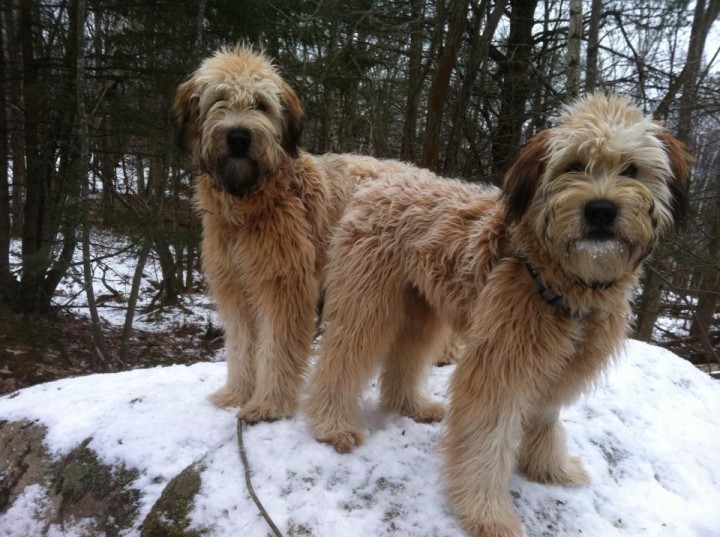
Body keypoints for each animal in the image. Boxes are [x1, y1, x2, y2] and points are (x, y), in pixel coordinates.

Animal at [174, 46, 428, 420]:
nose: (238, 137)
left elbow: (277, 347)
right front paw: (237, 394)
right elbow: (241, 344)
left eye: (261, 104)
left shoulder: (285, 285)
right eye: (219, 99)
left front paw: (268, 403)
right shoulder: (235, 286)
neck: (249, 204)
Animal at [306, 95, 692, 536]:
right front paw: (487, 512)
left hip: (421, 308)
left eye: (630, 169)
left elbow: (545, 418)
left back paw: (412, 405)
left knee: (406, 355)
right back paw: (332, 425)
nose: (600, 210)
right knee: (343, 357)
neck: (561, 281)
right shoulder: (502, 364)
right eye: (573, 165)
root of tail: (382, 177)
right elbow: (487, 440)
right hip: (369, 300)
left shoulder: (562, 364)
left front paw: (549, 468)